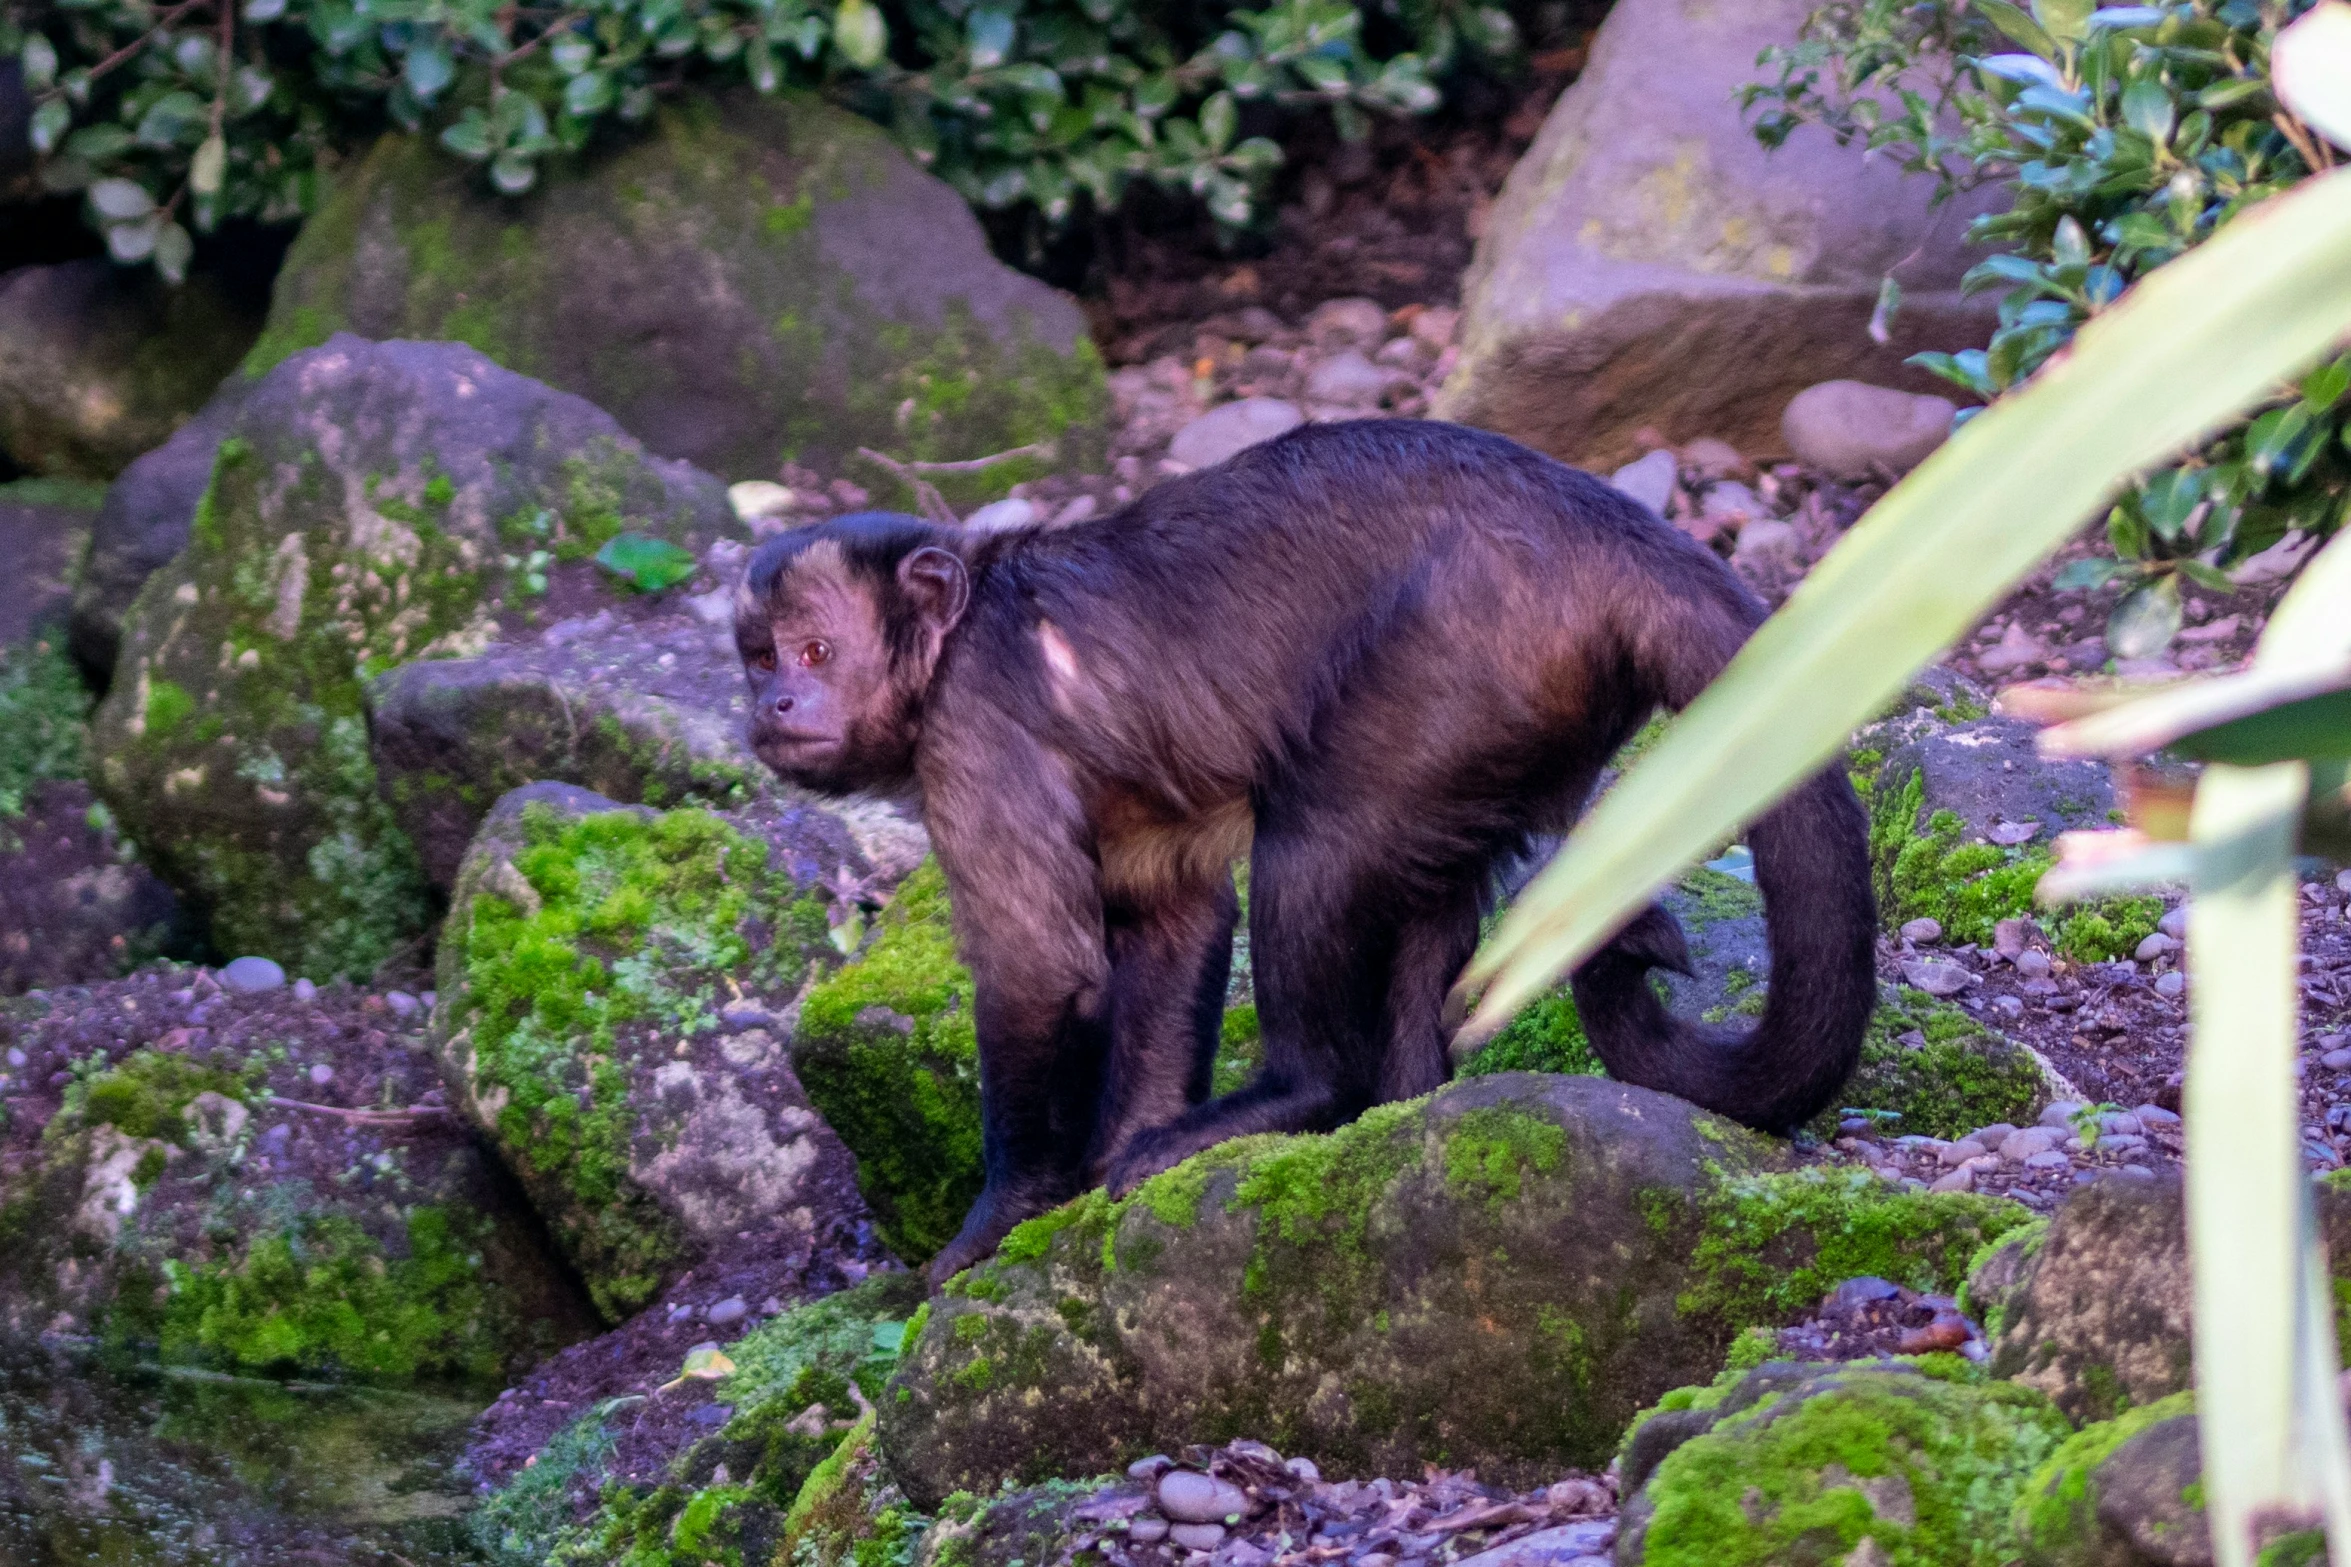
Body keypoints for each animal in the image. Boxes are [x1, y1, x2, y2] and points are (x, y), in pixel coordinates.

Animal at [733, 420, 1871, 1287]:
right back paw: (1402, 1108)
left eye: (816, 652)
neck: (960, 628)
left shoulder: (972, 728)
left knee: (1315, 842)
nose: (773, 703)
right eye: (757, 659)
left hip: (1466, 656)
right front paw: (1111, 1161)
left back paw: (1305, 1091)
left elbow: (1044, 973)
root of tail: (1609, 528)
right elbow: (1175, 922)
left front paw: (998, 1220)